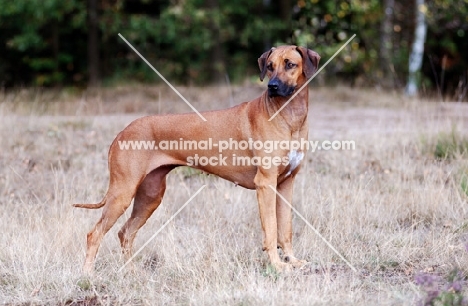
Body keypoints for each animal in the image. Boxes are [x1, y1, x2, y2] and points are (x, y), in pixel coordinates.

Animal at [74, 46, 322, 274]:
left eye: (290, 64)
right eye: (269, 66)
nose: (272, 86)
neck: (288, 115)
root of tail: (121, 133)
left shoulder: (286, 183)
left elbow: (285, 229)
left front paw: (292, 261)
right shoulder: (266, 183)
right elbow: (271, 230)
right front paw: (277, 265)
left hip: (150, 196)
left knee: (125, 232)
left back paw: (132, 272)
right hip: (123, 192)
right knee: (94, 234)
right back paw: (87, 275)